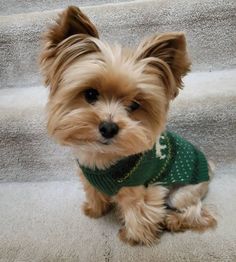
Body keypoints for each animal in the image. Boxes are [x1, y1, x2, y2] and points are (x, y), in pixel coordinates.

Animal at [39, 6, 217, 246]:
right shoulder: (89, 178)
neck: (103, 158)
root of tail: (209, 169)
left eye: (134, 105)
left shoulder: (142, 189)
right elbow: (94, 193)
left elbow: (138, 213)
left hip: (182, 192)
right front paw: (95, 210)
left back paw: (174, 221)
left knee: (199, 212)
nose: (108, 127)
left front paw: (133, 238)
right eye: (90, 94)